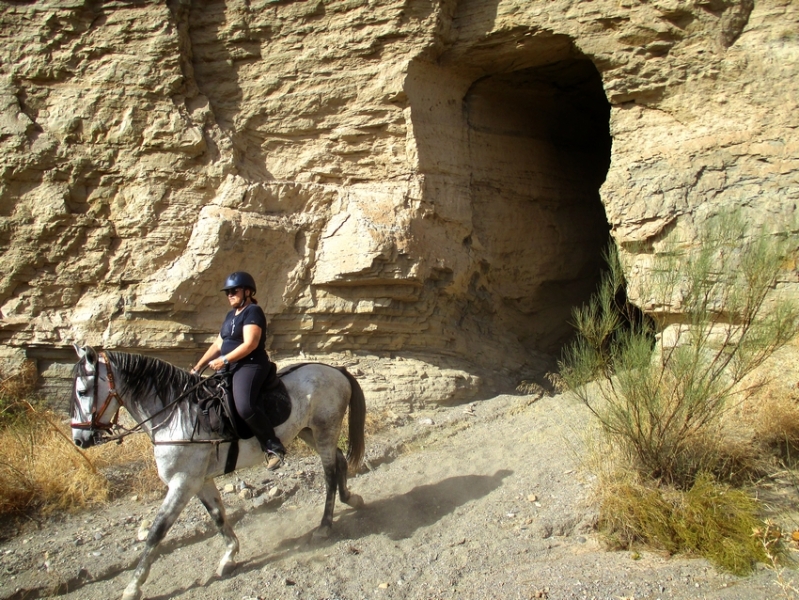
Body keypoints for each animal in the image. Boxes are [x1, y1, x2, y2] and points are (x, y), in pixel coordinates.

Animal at [72, 344, 366, 600]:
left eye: (83, 392)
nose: (79, 440)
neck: (176, 415)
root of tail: (335, 370)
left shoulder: (182, 483)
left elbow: (157, 531)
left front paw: (133, 587)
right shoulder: (200, 481)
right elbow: (217, 516)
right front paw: (229, 556)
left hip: (324, 429)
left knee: (329, 473)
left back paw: (325, 525)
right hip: (308, 433)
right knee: (339, 461)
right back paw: (351, 499)